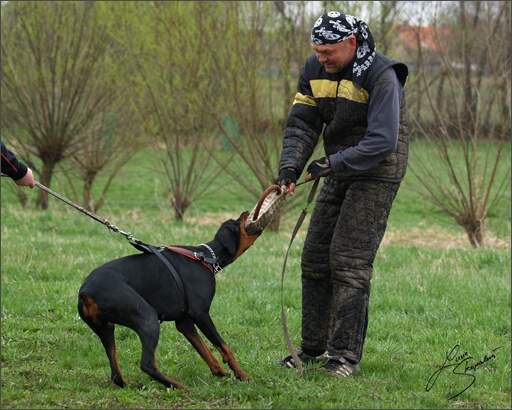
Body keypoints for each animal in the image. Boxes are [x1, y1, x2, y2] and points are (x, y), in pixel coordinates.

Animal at [78, 213, 262, 390]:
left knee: (115, 373)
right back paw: (179, 387)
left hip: (106, 328)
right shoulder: (200, 313)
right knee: (147, 364)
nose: (246, 212)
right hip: (148, 318)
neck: (207, 256)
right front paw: (242, 375)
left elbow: (203, 349)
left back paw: (126, 384)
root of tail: (85, 292)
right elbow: (224, 346)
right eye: (237, 221)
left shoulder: (184, 322)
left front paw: (219, 371)